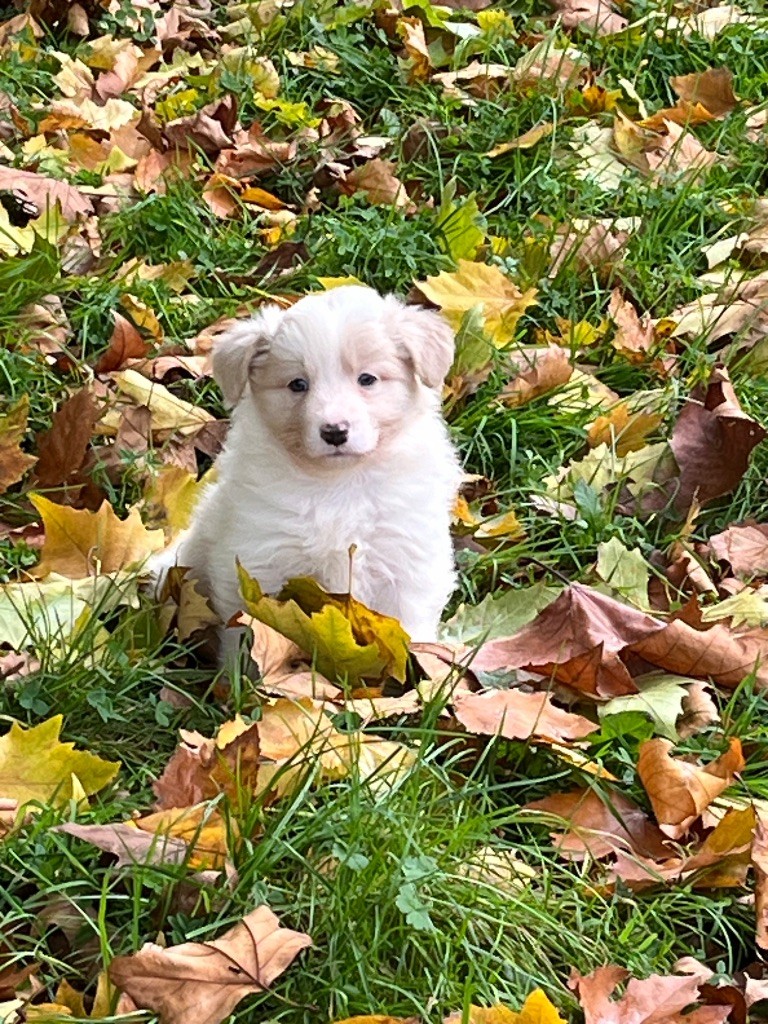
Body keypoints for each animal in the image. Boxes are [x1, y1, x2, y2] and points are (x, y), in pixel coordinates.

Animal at [153, 284, 460, 659]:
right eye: (298, 384)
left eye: (367, 379)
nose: (334, 431)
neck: (340, 483)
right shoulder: (259, 562)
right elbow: (249, 631)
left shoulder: (407, 561)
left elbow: (409, 631)